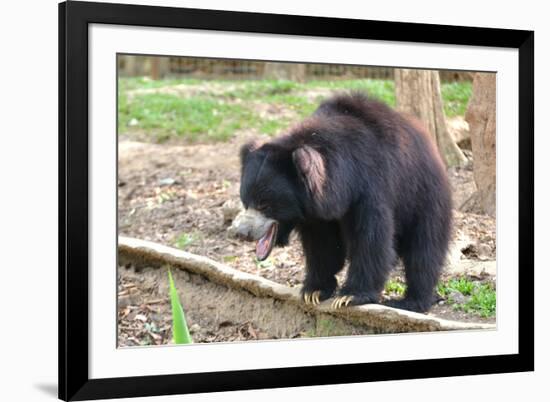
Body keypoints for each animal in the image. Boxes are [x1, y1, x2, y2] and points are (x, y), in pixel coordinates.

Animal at [237, 92, 452, 312]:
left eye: (264, 204)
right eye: (245, 201)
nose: (242, 233)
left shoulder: (371, 186)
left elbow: (371, 237)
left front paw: (350, 296)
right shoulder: (317, 213)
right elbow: (321, 244)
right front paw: (314, 291)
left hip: (423, 196)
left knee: (424, 249)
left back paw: (411, 301)